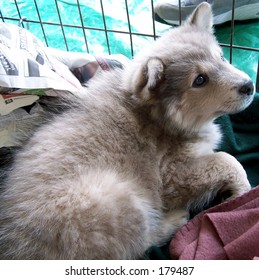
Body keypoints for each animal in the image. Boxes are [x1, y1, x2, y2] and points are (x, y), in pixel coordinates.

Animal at [0, 2, 255, 260]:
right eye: (200, 80)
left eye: (221, 57)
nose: (250, 86)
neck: (161, 117)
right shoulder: (172, 175)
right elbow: (227, 160)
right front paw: (242, 192)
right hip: (123, 200)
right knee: (138, 245)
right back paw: (174, 221)